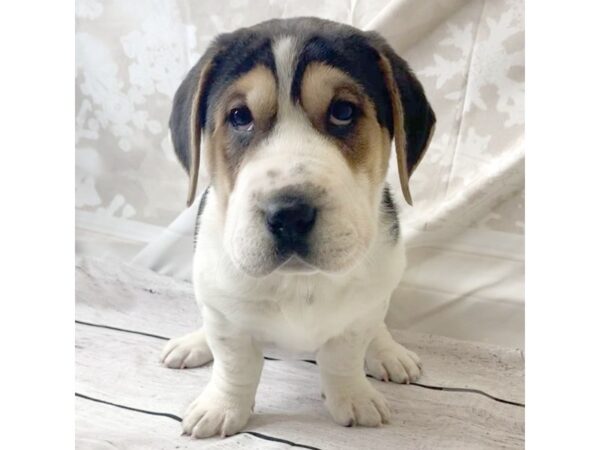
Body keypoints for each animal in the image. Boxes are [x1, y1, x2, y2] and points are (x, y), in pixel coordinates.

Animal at [159, 15, 436, 438]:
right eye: (239, 117)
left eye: (343, 111)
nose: (289, 214)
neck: (299, 281)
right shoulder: (226, 317)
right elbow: (234, 366)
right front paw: (222, 408)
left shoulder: (357, 318)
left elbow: (344, 357)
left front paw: (353, 398)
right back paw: (193, 343)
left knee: (377, 325)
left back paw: (388, 352)